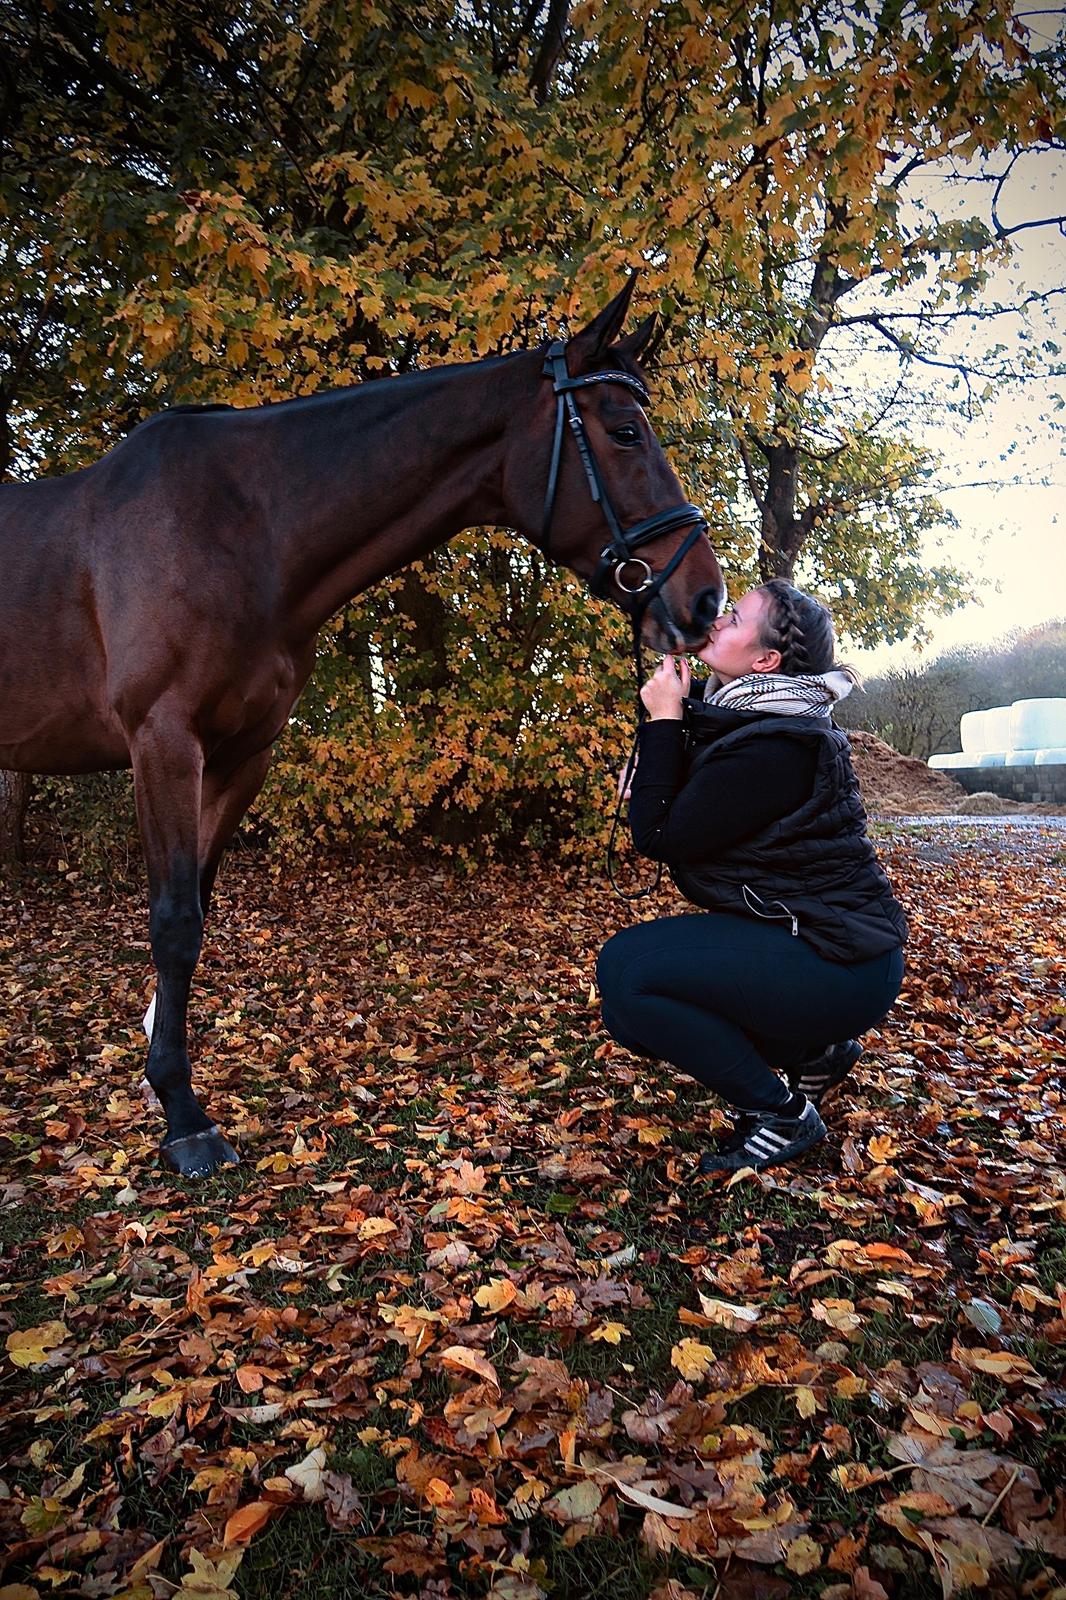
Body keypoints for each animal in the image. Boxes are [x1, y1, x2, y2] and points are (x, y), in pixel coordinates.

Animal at [0, 278, 723, 1177]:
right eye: (624, 431)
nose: (705, 600)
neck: (240, 531)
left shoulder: (243, 754)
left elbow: (197, 903)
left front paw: (159, 1071)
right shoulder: (162, 743)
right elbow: (173, 922)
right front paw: (183, 1116)